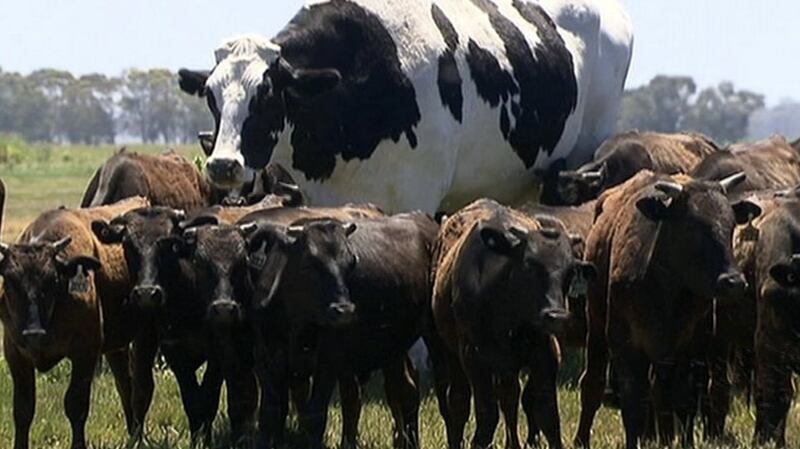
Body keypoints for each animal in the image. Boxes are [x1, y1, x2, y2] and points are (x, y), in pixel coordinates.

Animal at [0, 196, 151, 449]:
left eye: (52, 279)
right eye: (10, 281)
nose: (33, 333)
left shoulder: (85, 352)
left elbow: (76, 404)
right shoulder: (15, 353)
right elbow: (23, 409)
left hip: (144, 336)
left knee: (141, 387)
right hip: (116, 347)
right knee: (125, 384)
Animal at [242, 212, 436, 449]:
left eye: (351, 263)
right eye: (308, 263)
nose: (344, 310)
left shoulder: (329, 360)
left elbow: (315, 415)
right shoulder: (265, 357)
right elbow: (270, 412)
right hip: (392, 350)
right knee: (400, 389)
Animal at [430, 198, 595, 449]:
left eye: (569, 273)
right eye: (528, 265)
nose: (556, 316)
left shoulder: (545, 354)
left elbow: (547, 415)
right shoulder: (474, 358)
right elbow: (487, 415)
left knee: (509, 397)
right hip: (452, 353)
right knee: (459, 402)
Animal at [574, 170, 761, 449]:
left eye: (730, 226)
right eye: (692, 227)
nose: (734, 281)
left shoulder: (691, 346)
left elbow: (682, 399)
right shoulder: (625, 343)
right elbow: (633, 402)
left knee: (660, 392)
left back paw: (658, 436)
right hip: (596, 324)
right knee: (593, 383)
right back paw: (582, 438)